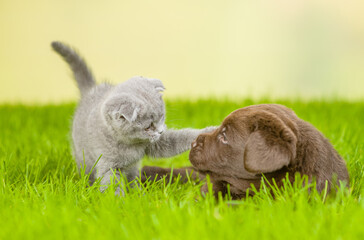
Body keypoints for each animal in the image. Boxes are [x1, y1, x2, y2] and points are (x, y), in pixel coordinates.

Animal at [52, 40, 216, 193]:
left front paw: (209, 131)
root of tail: (91, 90)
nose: (161, 131)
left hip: (132, 167)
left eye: (162, 117)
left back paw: (137, 192)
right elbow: (112, 184)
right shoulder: (108, 164)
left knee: (132, 176)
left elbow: (178, 139)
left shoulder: (156, 143)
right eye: (148, 126)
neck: (131, 144)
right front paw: (119, 201)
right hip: (82, 156)